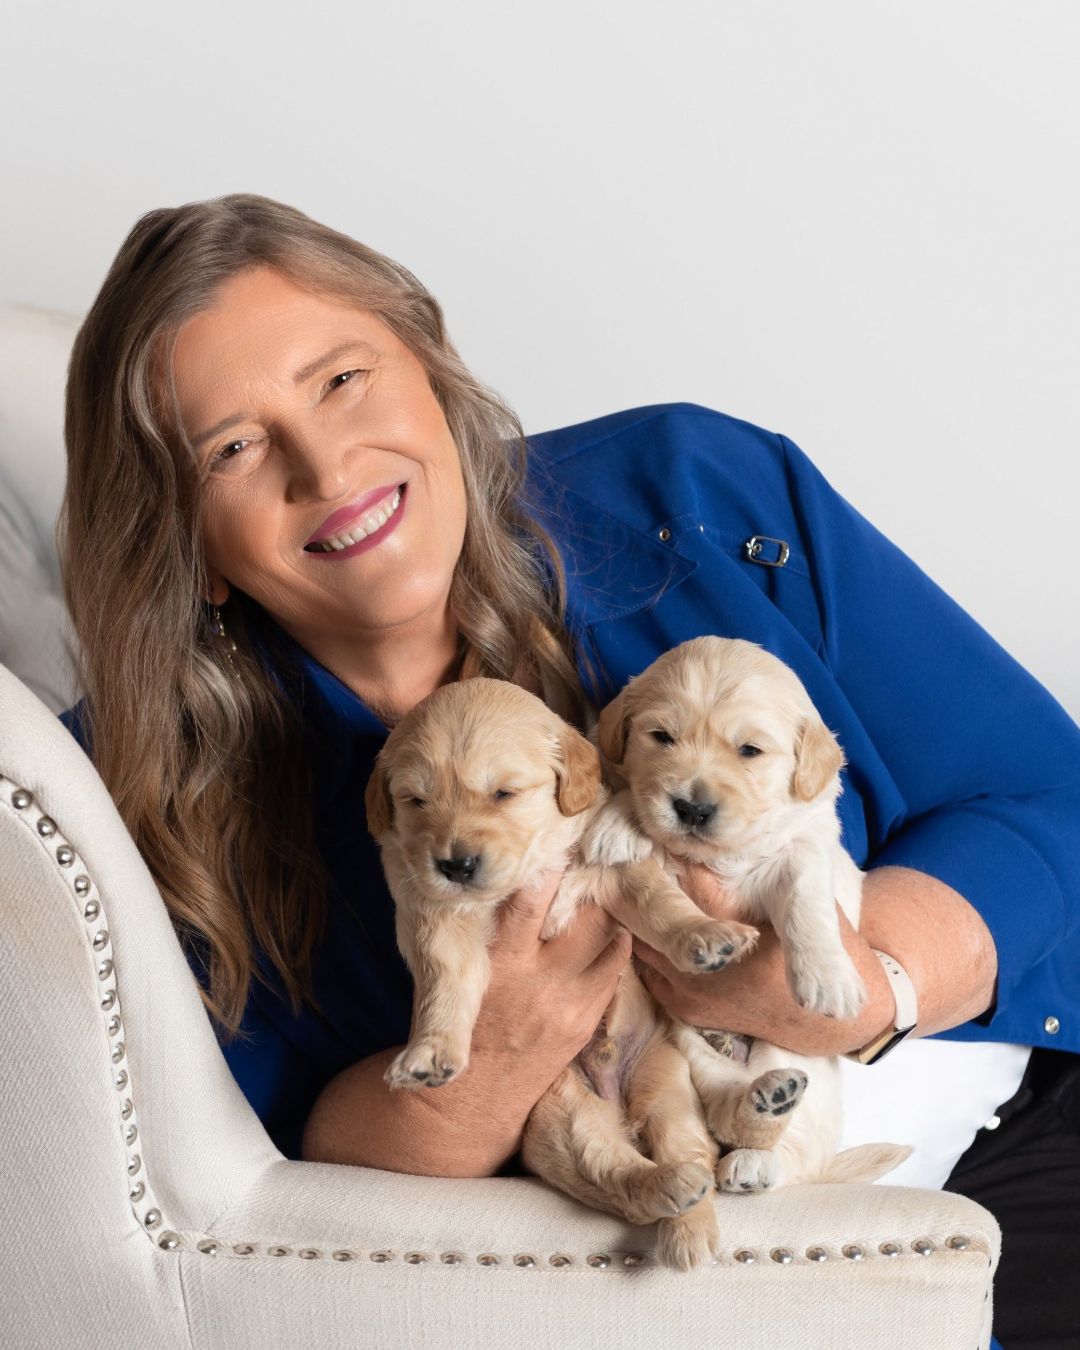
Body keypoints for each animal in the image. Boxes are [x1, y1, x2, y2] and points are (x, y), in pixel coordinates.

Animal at [361, 680, 750, 1269]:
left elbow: (660, 905)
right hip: (557, 1117)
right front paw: (429, 1053)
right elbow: (445, 985)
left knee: (690, 1148)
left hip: (665, 1086)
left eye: (504, 793)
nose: (455, 865)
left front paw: (705, 936)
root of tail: (615, 1099)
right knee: (614, 1174)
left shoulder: (612, 869)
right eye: (414, 801)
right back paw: (670, 1189)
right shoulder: (435, 918)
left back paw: (691, 1226)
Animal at [591, 637, 912, 1198]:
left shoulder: (801, 850)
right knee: (724, 1106)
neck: (723, 855)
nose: (692, 808)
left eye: (749, 751)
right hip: (684, 1046)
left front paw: (828, 979)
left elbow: (805, 899)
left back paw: (755, 1164)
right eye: (661, 737)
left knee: (792, 1154)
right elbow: (632, 800)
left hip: (789, 1058)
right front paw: (616, 824)